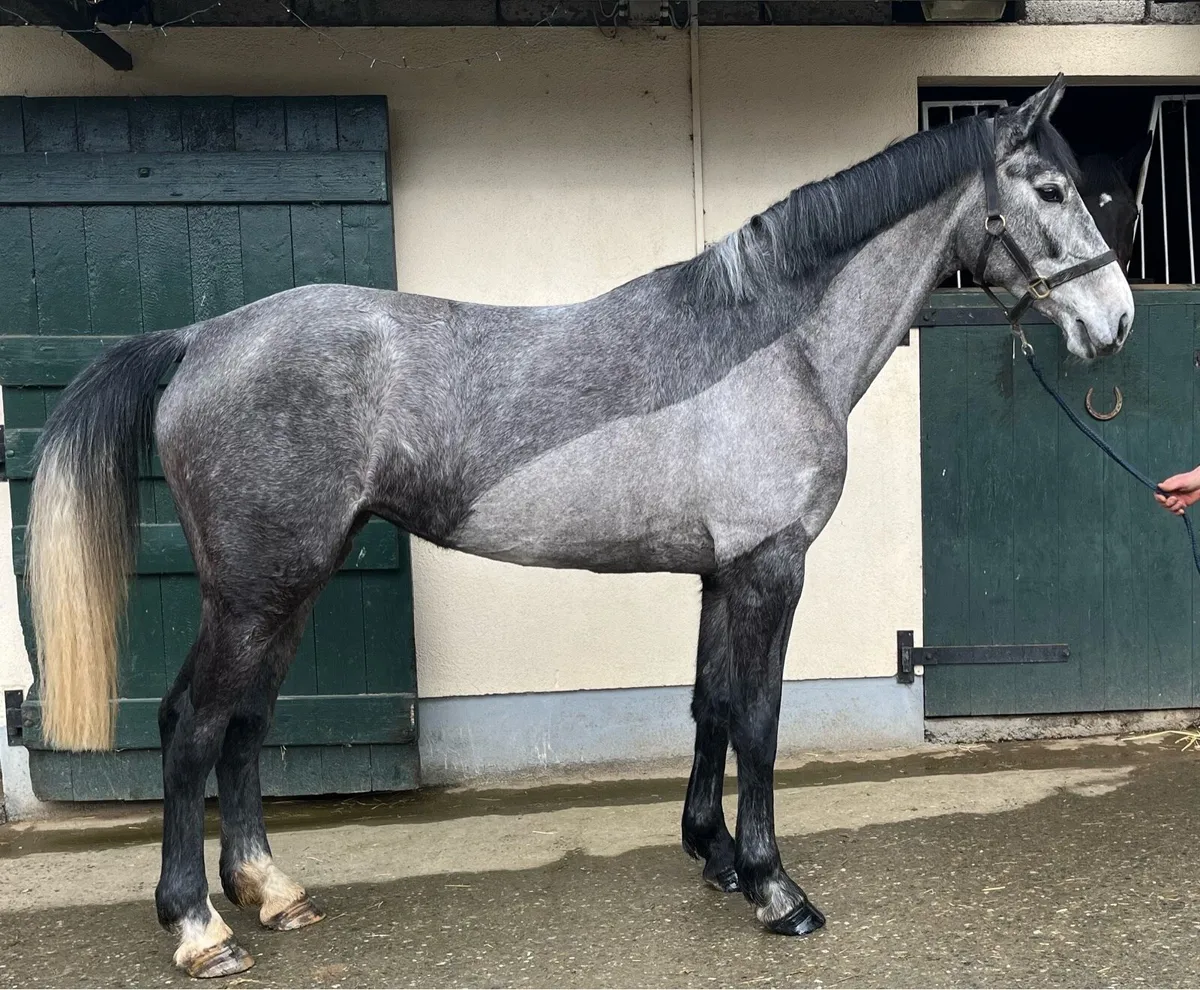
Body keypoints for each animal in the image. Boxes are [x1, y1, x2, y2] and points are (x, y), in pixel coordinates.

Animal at [25, 75, 1132, 978]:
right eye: (1049, 189)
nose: (1115, 321)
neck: (774, 344)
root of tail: (202, 336)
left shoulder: (720, 576)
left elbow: (710, 706)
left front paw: (715, 859)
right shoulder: (770, 571)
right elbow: (760, 720)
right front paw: (777, 889)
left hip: (288, 586)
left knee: (245, 726)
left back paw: (271, 891)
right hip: (258, 589)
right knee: (191, 726)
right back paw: (199, 927)